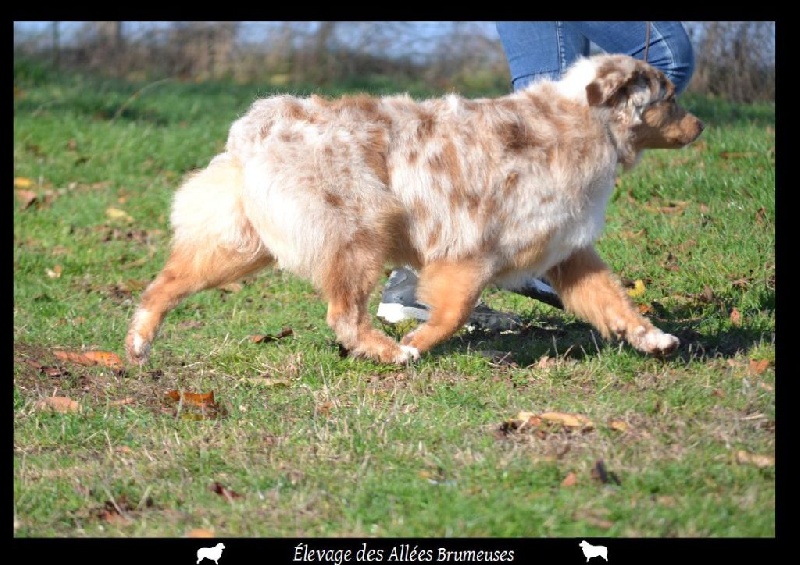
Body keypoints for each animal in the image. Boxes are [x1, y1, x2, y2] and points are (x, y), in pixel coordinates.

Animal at [123, 54, 700, 366]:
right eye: (670, 98)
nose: (699, 127)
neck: (582, 122)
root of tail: (258, 128)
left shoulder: (568, 251)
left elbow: (615, 302)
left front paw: (654, 338)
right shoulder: (470, 248)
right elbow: (452, 313)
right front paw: (418, 344)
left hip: (242, 243)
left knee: (164, 283)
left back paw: (138, 341)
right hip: (359, 232)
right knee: (344, 314)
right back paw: (387, 352)